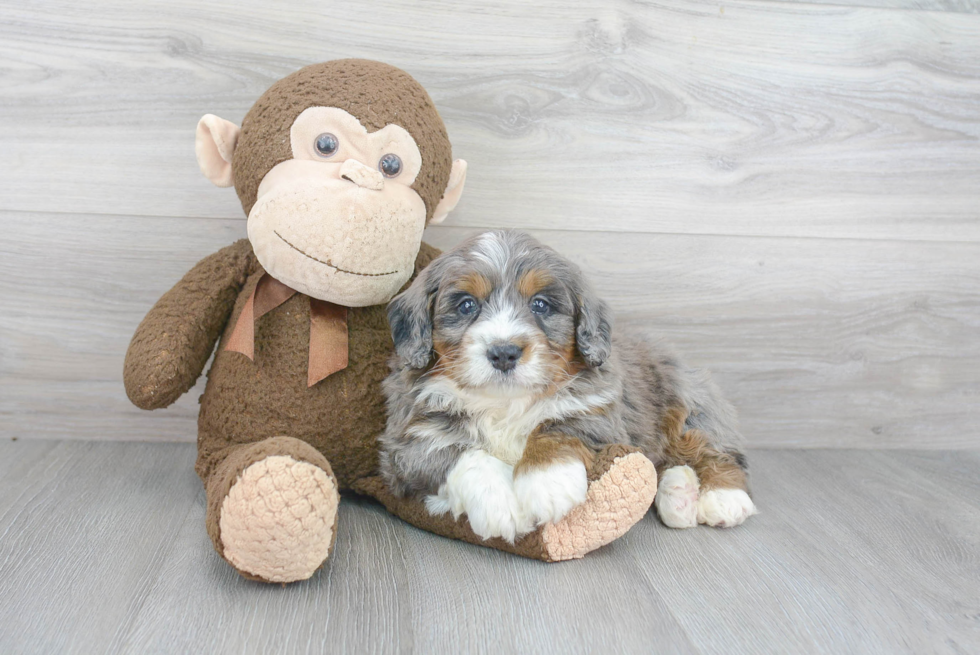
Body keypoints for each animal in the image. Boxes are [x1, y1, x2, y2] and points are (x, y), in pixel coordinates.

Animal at [378, 231, 756, 544]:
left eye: (540, 304)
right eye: (466, 304)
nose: (504, 352)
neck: (505, 403)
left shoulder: (597, 412)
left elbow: (556, 429)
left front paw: (548, 481)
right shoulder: (408, 441)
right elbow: (462, 454)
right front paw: (500, 503)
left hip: (690, 401)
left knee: (713, 451)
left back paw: (723, 498)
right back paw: (679, 494)